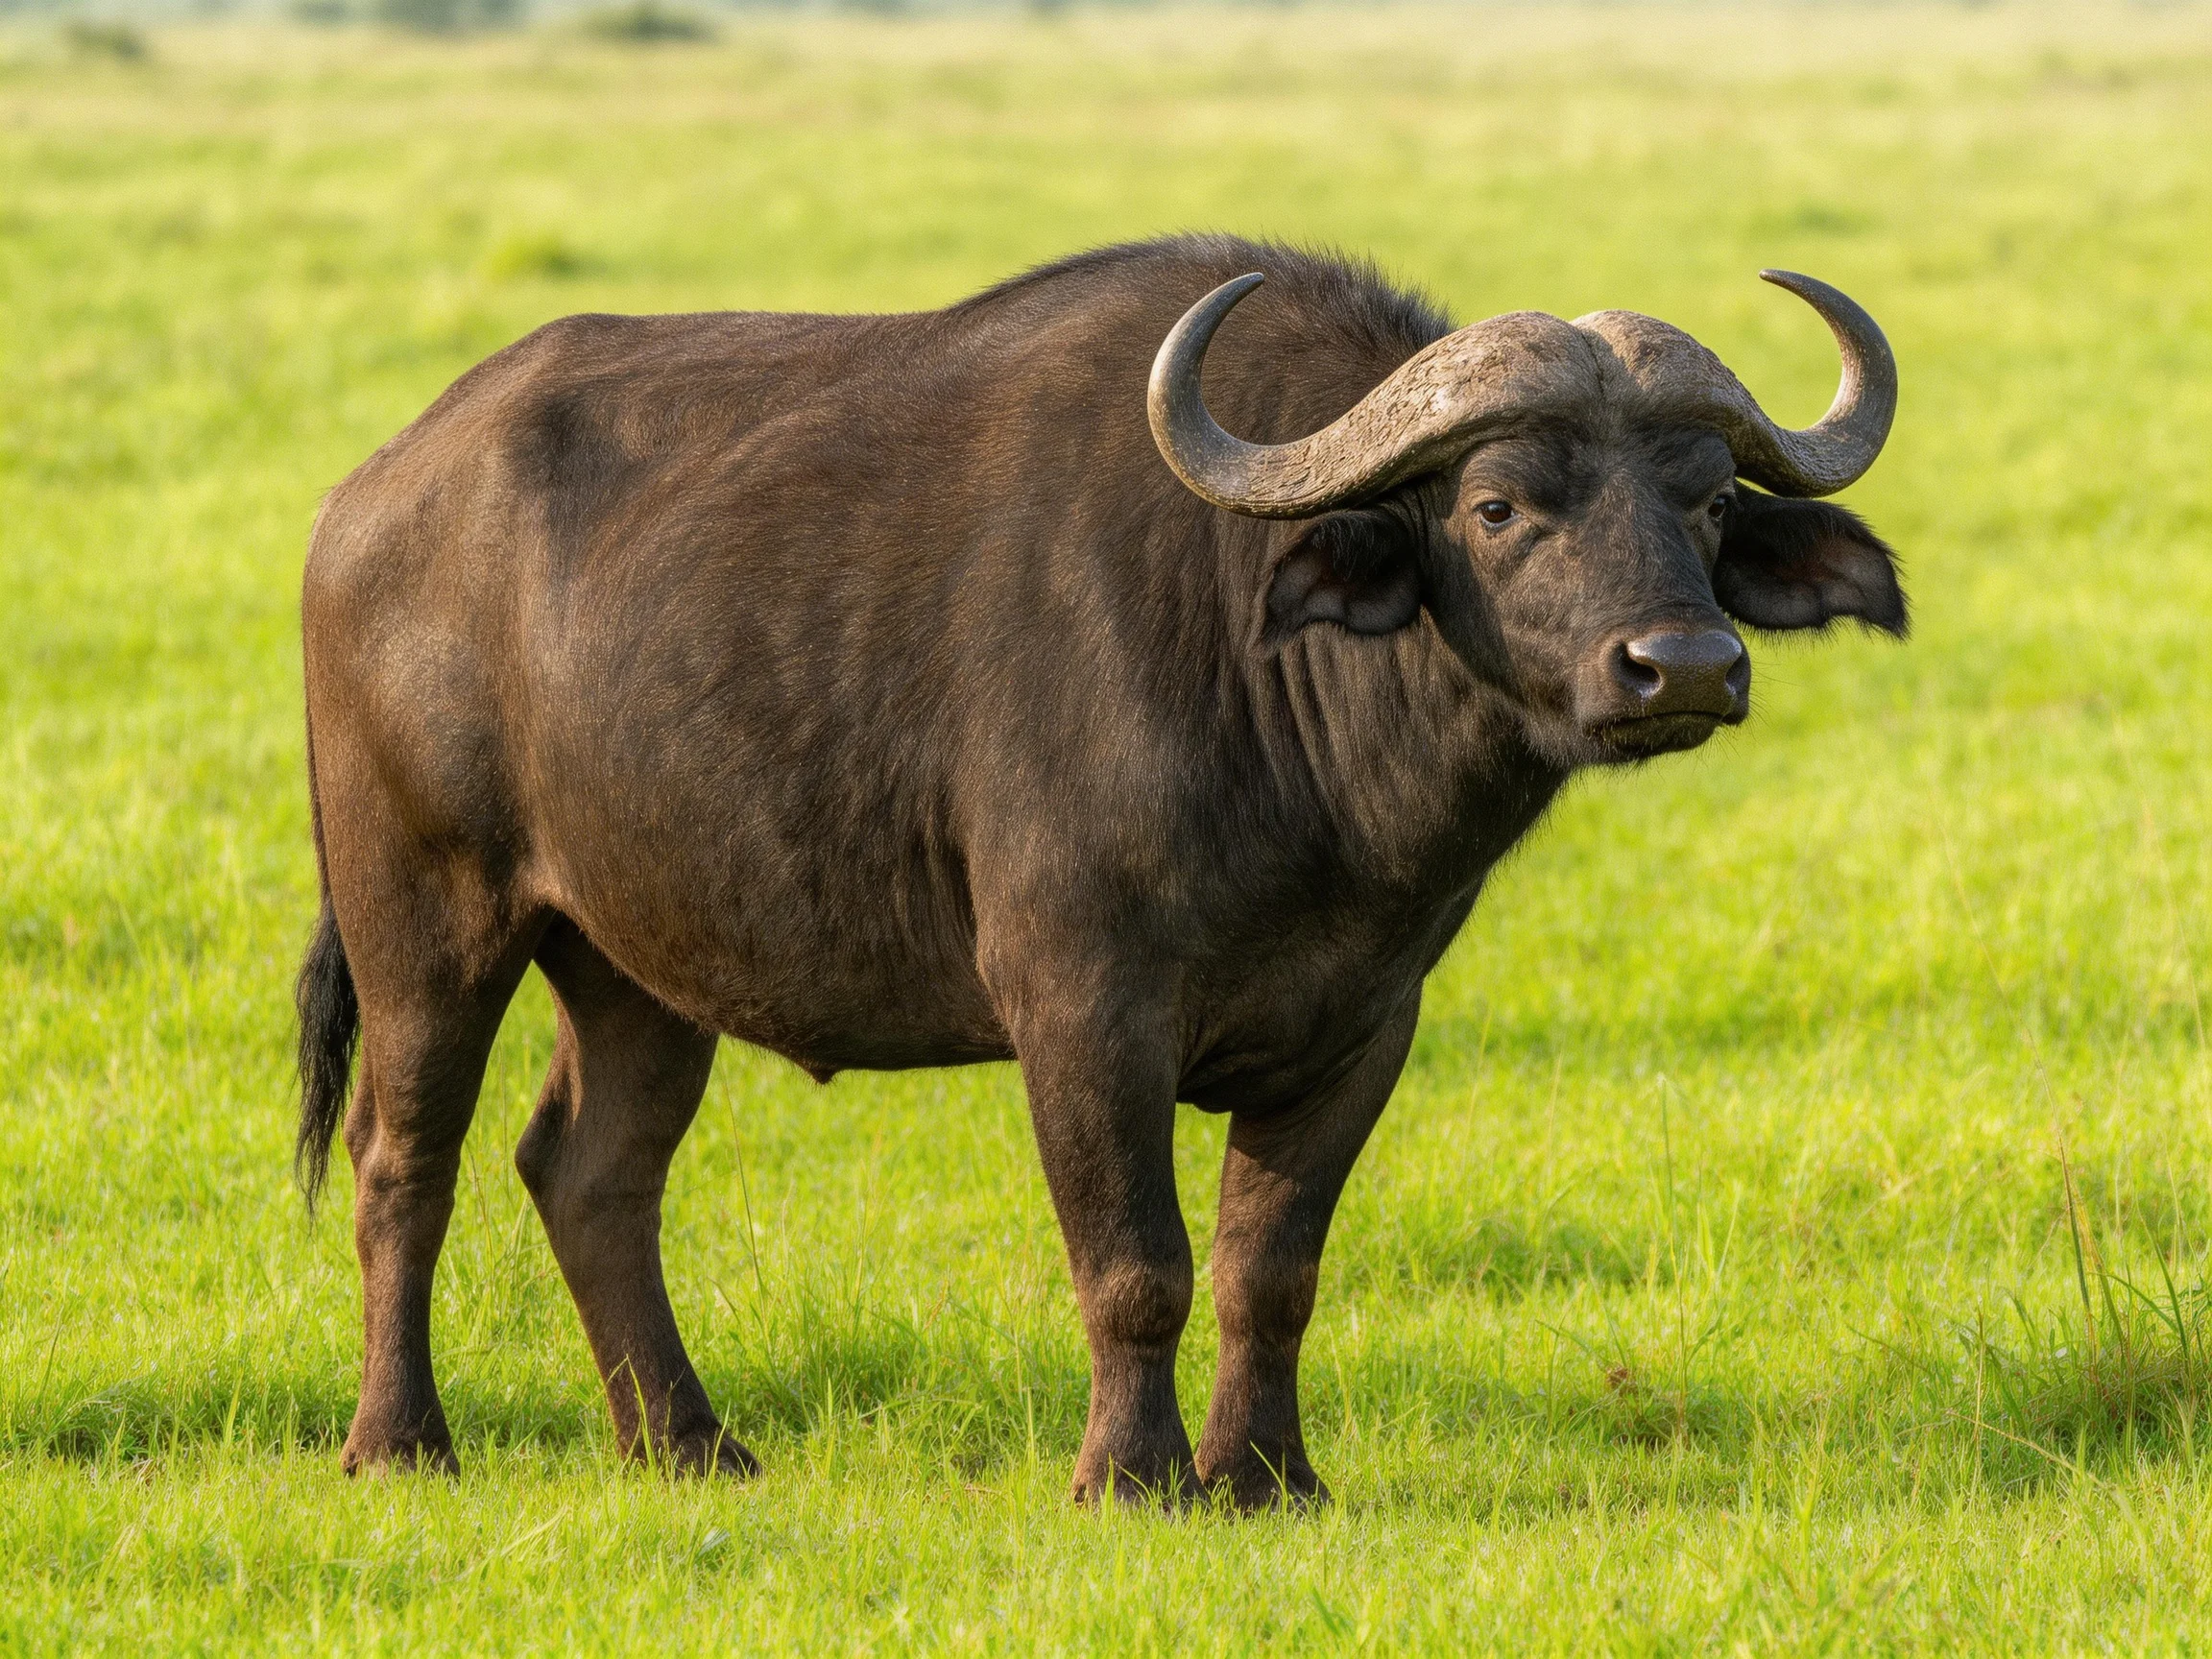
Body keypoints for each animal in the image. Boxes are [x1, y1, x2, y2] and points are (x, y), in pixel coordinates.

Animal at [296, 235, 1902, 1505]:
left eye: (1706, 501)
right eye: (1500, 504)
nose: (1681, 666)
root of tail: (371, 495)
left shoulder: (1364, 1028)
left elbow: (1271, 1269)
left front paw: (1266, 1476)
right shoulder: (1081, 1008)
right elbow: (1138, 1265)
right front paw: (1130, 1477)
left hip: (637, 959)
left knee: (591, 1171)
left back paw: (688, 1444)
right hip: (426, 912)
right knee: (402, 1159)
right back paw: (402, 1443)